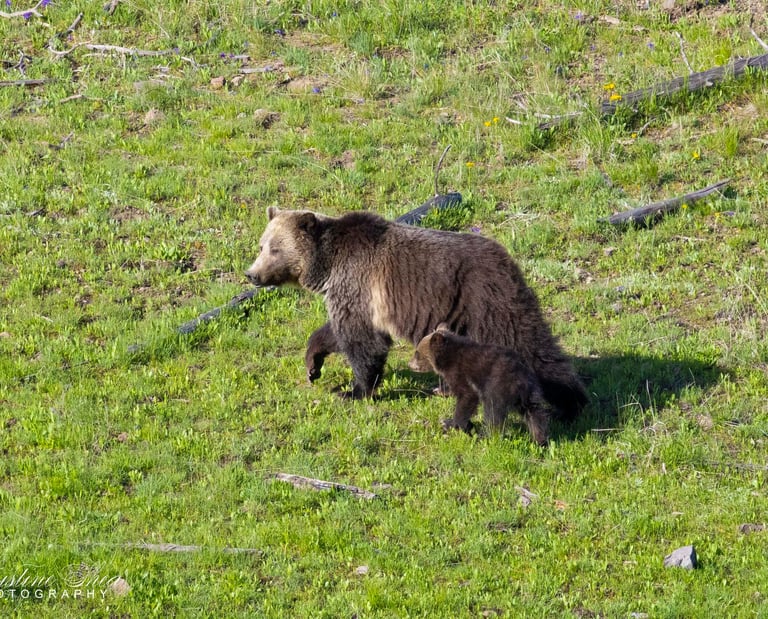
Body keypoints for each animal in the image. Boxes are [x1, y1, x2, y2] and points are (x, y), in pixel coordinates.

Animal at [245, 206, 587, 418]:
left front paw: (353, 390)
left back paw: (571, 402)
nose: (252, 274)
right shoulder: (354, 296)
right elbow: (338, 331)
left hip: (485, 300)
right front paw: (313, 365)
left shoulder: (358, 281)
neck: (327, 266)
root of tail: (508, 260)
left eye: (275, 248)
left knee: (529, 343)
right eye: (261, 245)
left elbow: (363, 342)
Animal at [409, 324, 551, 445]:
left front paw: (451, 423)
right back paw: (540, 441)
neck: (447, 360)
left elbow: (467, 396)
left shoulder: (461, 372)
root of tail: (521, 379)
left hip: (498, 387)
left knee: (493, 414)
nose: (409, 364)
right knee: (535, 414)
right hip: (531, 393)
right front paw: (439, 390)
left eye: (417, 353)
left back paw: (485, 437)